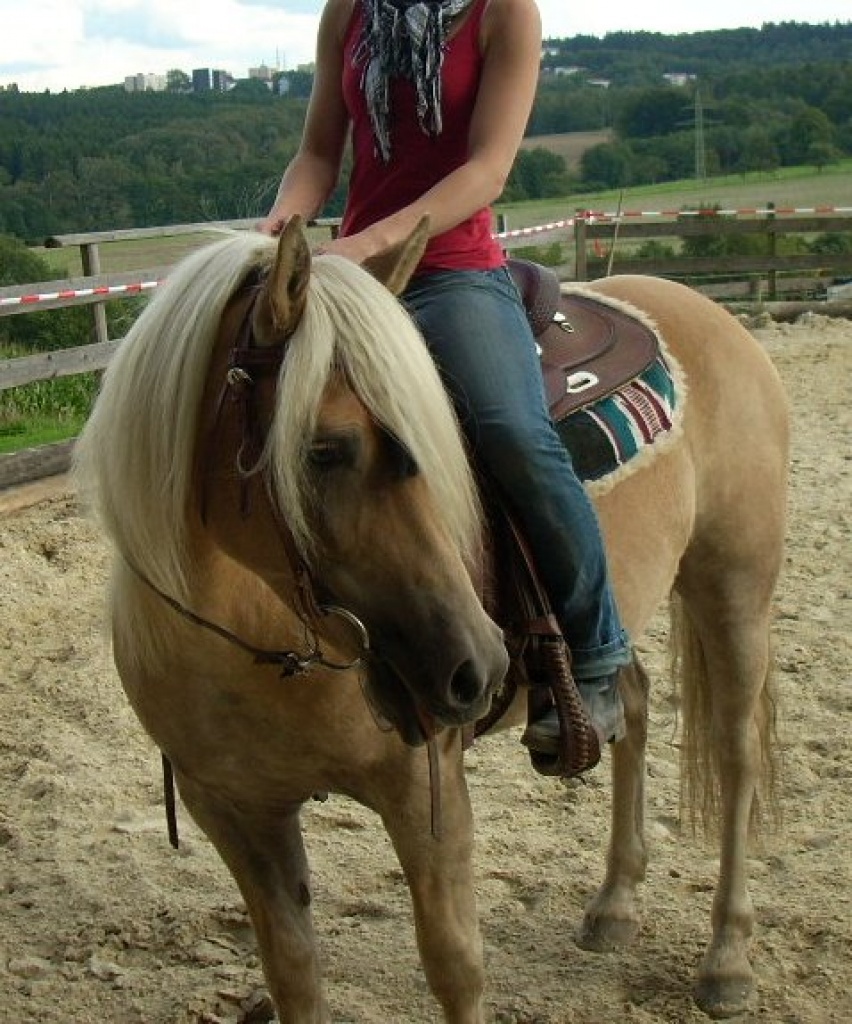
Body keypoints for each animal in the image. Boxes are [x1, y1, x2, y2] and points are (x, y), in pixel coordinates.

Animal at [73, 216, 789, 1023]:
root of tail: (697, 306)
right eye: (326, 449)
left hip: (733, 584)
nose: (479, 665)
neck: (257, 643)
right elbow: (294, 976)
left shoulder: (423, 793)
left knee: (735, 756)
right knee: (628, 709)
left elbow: (454, 968)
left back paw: (727, 958)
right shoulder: (234, 811)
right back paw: (614, 905)